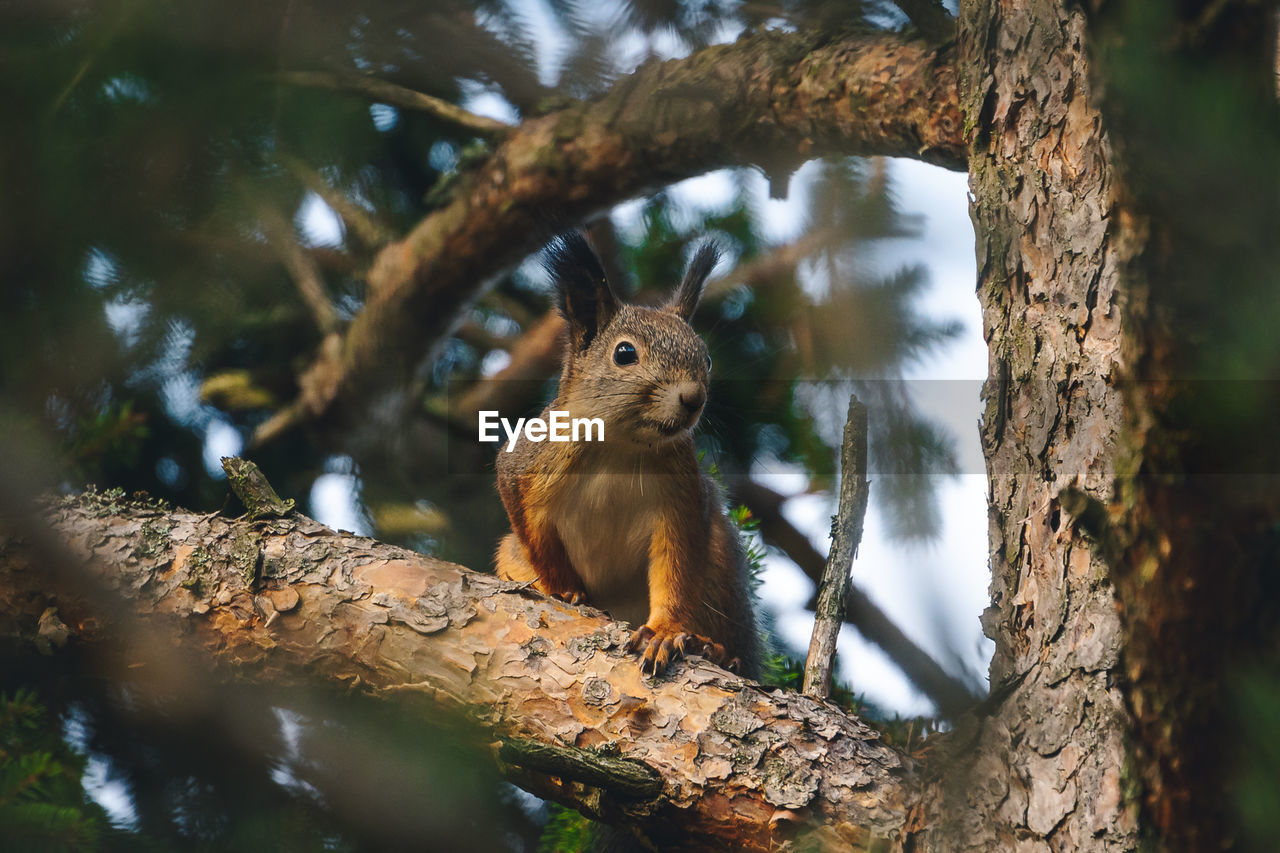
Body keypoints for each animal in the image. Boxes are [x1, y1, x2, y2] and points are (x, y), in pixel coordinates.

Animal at [494, 229, 757, 676]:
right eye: (624, 354)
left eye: (705, 358)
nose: (693, 399)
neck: (621, 445)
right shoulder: (522, 467)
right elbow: (538, 540)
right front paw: (564, 590)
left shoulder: (683, 503)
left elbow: (676, 570)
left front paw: (665, 632)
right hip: (507, 552)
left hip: (720, 558)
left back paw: (718, 650)